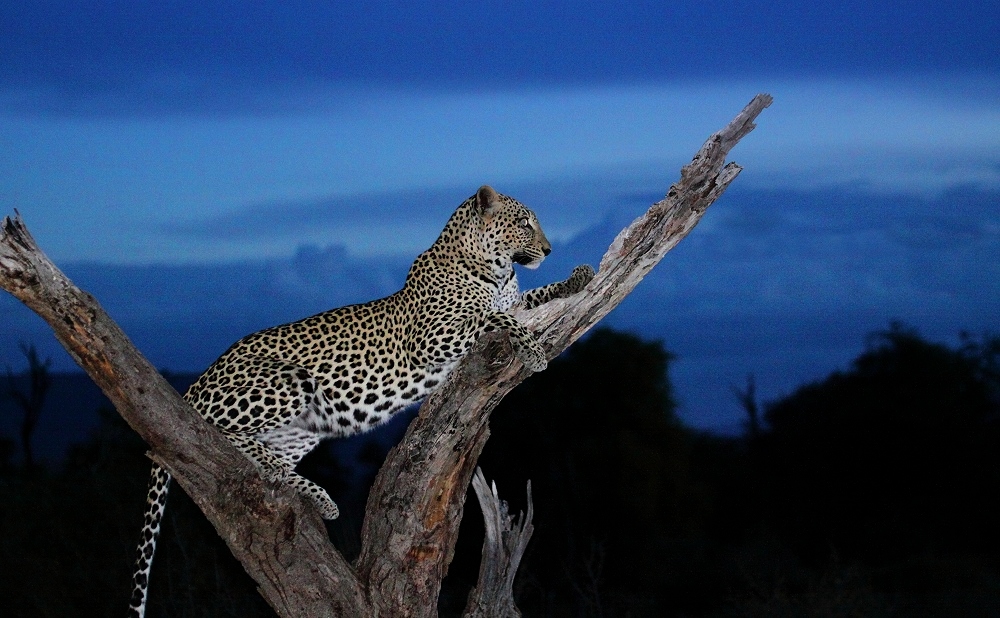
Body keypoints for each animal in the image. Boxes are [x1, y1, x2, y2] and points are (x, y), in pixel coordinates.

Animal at [125, 184, 592, 616]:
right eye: (525, 223)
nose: (549, 249)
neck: (494, 270)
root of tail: (201, 375)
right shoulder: (430, 337)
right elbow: (493, 316)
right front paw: (532, 350)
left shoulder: (514, 300)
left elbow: (529, 299)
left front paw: (579, 276)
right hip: (288, 383)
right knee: (215, 430)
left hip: (302, 431)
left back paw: (318, 497)